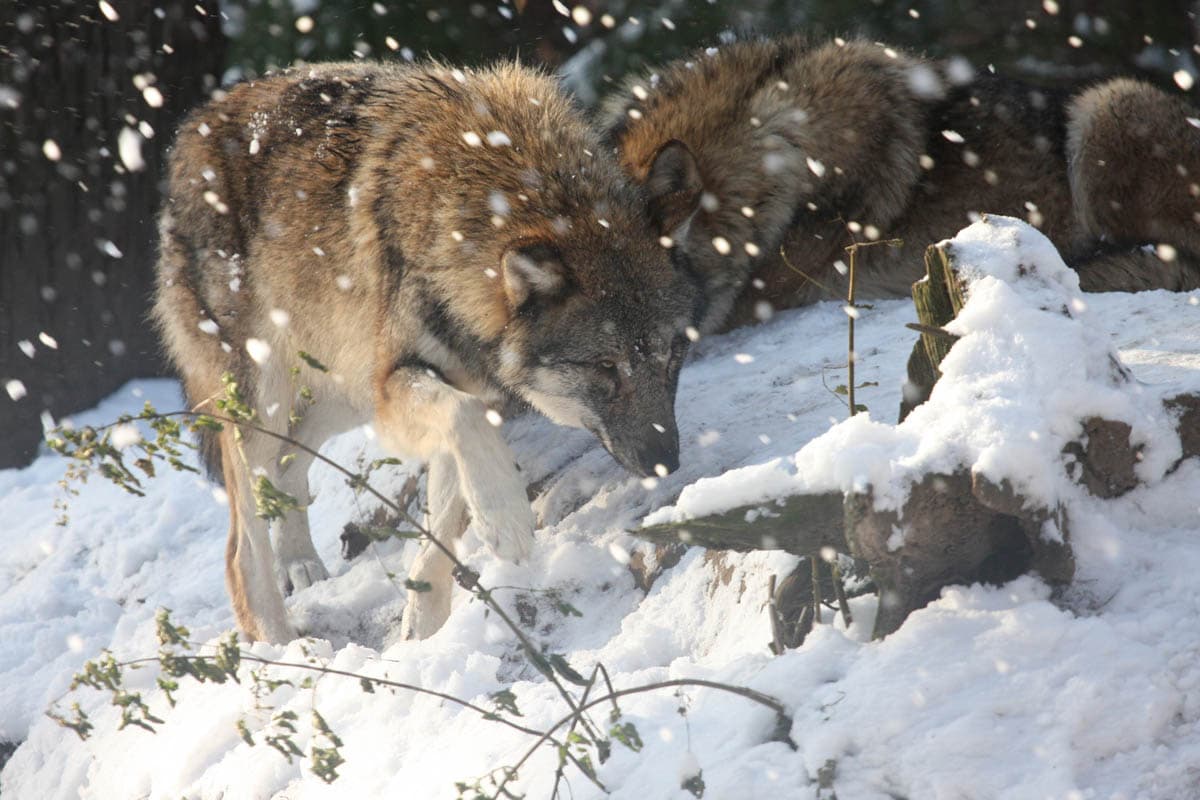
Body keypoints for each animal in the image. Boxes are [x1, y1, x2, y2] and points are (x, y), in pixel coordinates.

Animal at [154, 65, 700, 647]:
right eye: (604, 368)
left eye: (673, 354)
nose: (666, 463)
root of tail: (193, 126)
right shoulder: (403, 387)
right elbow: (465, 429)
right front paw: (506, 523)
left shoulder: (464, 391)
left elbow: (444, 522)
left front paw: (422, 631)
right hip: (267, 401)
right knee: (240, 549)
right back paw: (280, 645)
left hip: (340, 392)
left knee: (287, 468)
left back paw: (301, 567)